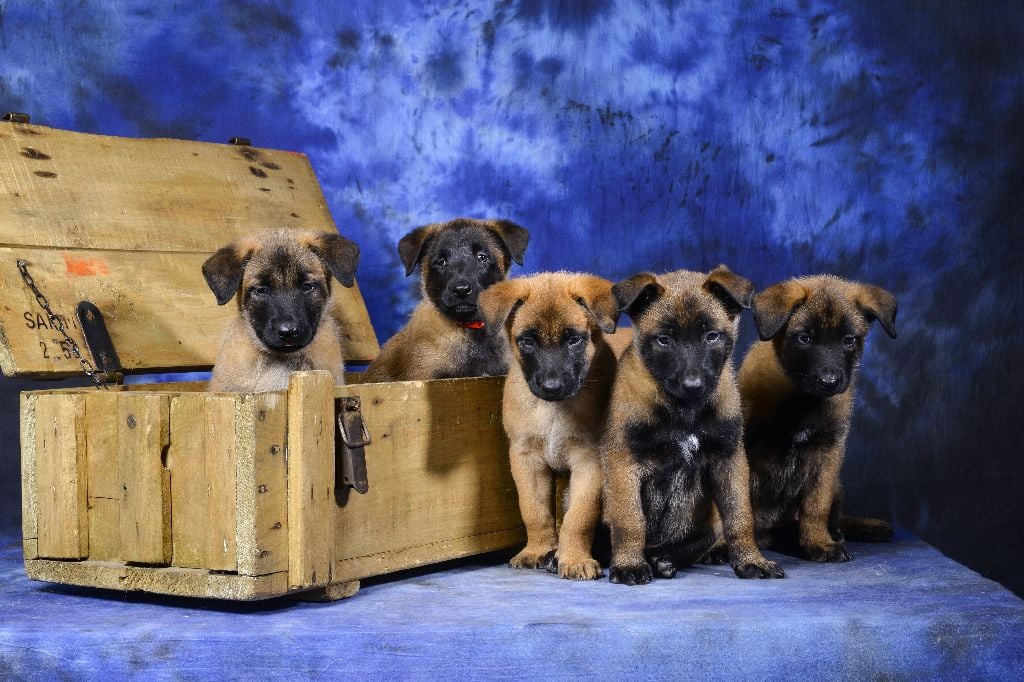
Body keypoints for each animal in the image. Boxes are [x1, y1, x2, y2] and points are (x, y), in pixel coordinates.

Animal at [477, 270, 614, 577]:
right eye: (528, 341)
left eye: (574, 340)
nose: (552, 387)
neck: (552, 410)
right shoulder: (526, 460)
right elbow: (533, 511)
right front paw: (537, 550)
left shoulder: (590, 462)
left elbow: (579, 517)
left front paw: (574, 558)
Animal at [598, 266, 782, 585]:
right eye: (664, 340)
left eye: (711, 336)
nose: (693, 385)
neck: (685, 411)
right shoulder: (623, 459)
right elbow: (630, 519)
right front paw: (629, 564)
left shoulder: (729, 459)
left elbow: (740, 517)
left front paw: (751, 559)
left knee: (706, 536)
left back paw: (667, 557)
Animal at [737, 274, 897, 561]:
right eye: (804, 338)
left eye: (849, 340)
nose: (829, 381)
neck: (802, 400)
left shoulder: (827, 456)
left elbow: (816, 506)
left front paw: (819, 542)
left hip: (837, 486)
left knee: (831, 517)